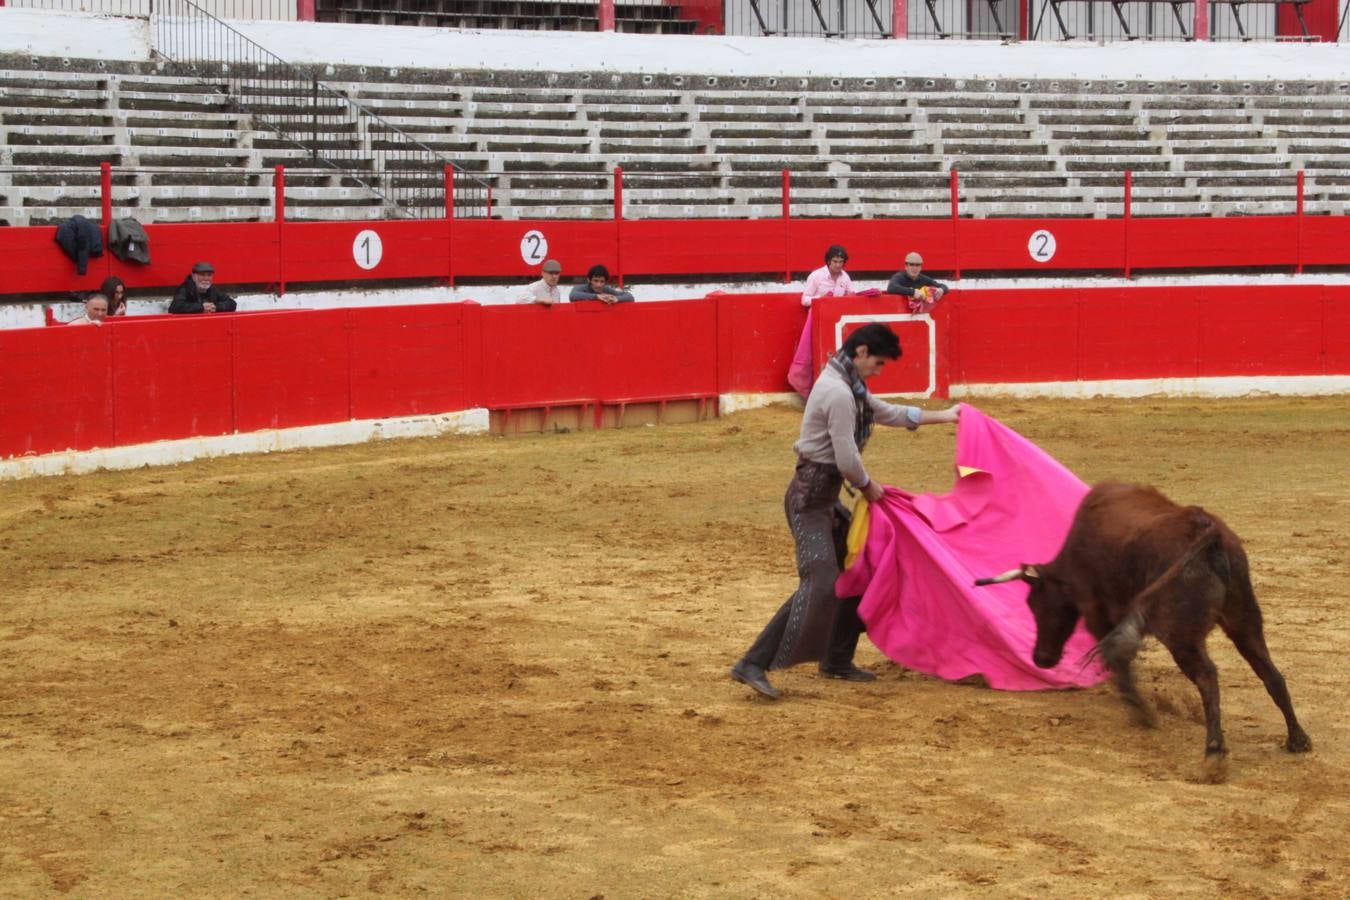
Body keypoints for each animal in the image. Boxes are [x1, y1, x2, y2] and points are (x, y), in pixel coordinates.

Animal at [982, 477, 1306, 782]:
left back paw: (1213, 753)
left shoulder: (1096, 610)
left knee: (1207, 676)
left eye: (1035, 604)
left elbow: (1118, 661)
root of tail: (1207, 531)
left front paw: (1140, 711)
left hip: (1181, 635)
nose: (1041, 658)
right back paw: (1298, 739)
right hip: (1244, 618)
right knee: (1270, 672)